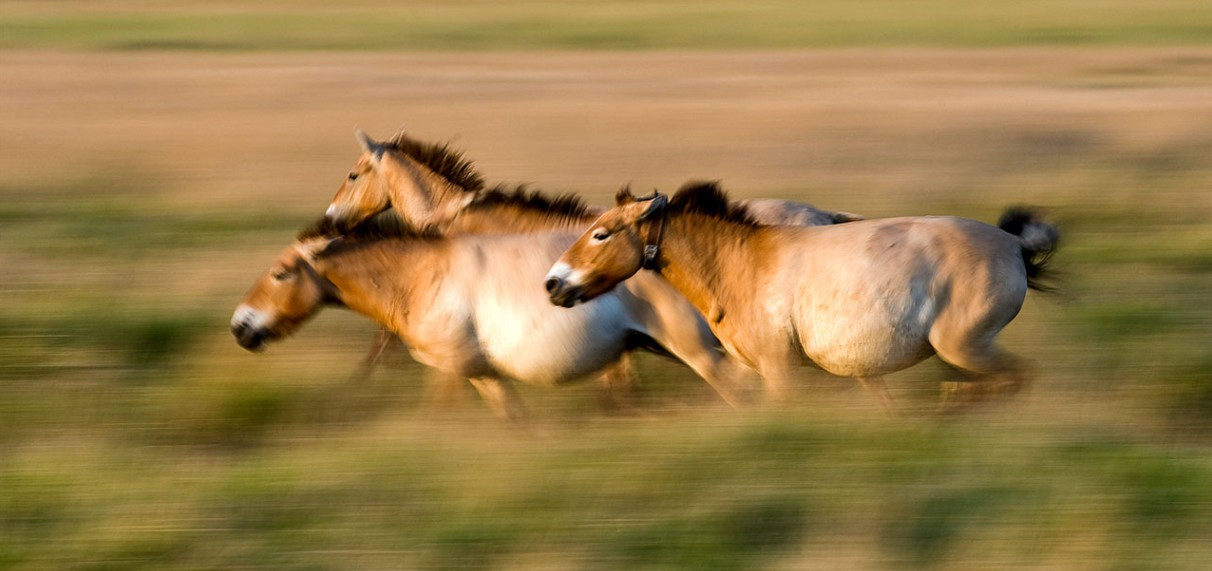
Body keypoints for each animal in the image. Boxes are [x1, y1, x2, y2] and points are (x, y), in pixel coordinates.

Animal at [230, 216, 744, 421]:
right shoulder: (483, 376)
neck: (423, 277)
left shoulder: (451, 370)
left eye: (280, 274)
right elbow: (517, 425)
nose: (240, 326)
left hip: (697, 352)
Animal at [545, 182, 1059, 411]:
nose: (553, 284)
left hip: (964, 346)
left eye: (601, 234)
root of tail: (1013, 243)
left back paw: (958, 399)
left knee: (1023, 377)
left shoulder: (779, 369)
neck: (740, 265)